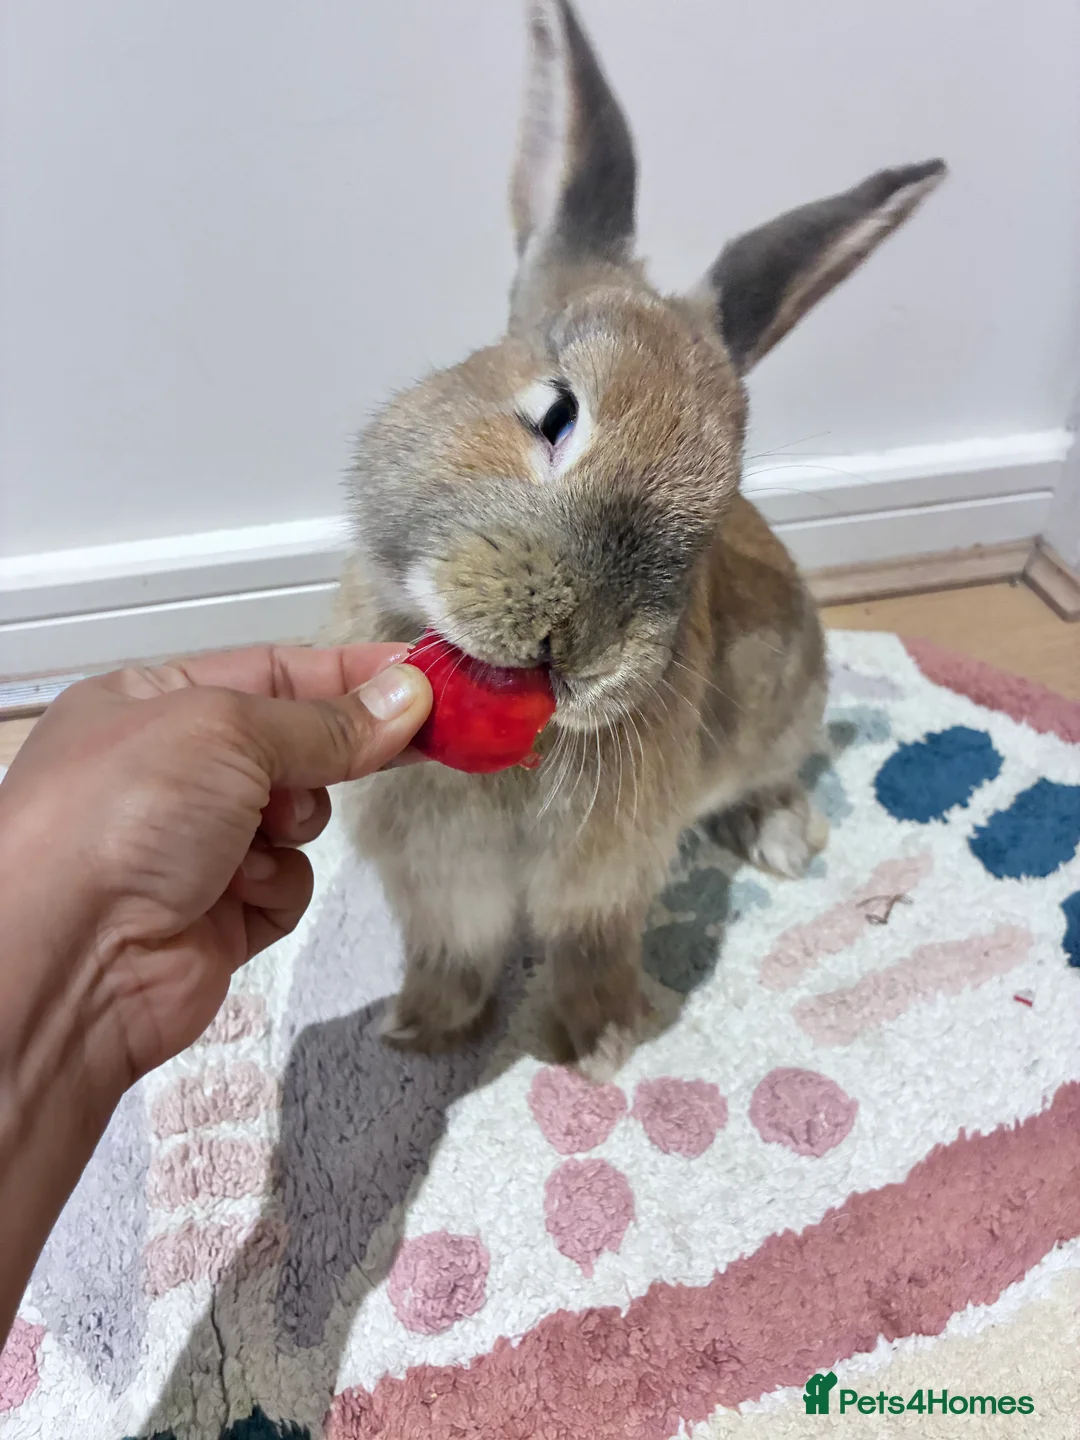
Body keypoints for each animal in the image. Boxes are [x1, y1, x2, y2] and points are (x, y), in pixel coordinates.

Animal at [327, 0, 945, 1078]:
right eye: (557, 413)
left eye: (721, 504)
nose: (576, 646)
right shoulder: (438, 886)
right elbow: (450, 952)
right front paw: (421, 1031)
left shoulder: (607, 874)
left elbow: (591, 946)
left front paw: (605, 1043)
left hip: (788, 703)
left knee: (777, 770)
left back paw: (781, 833)